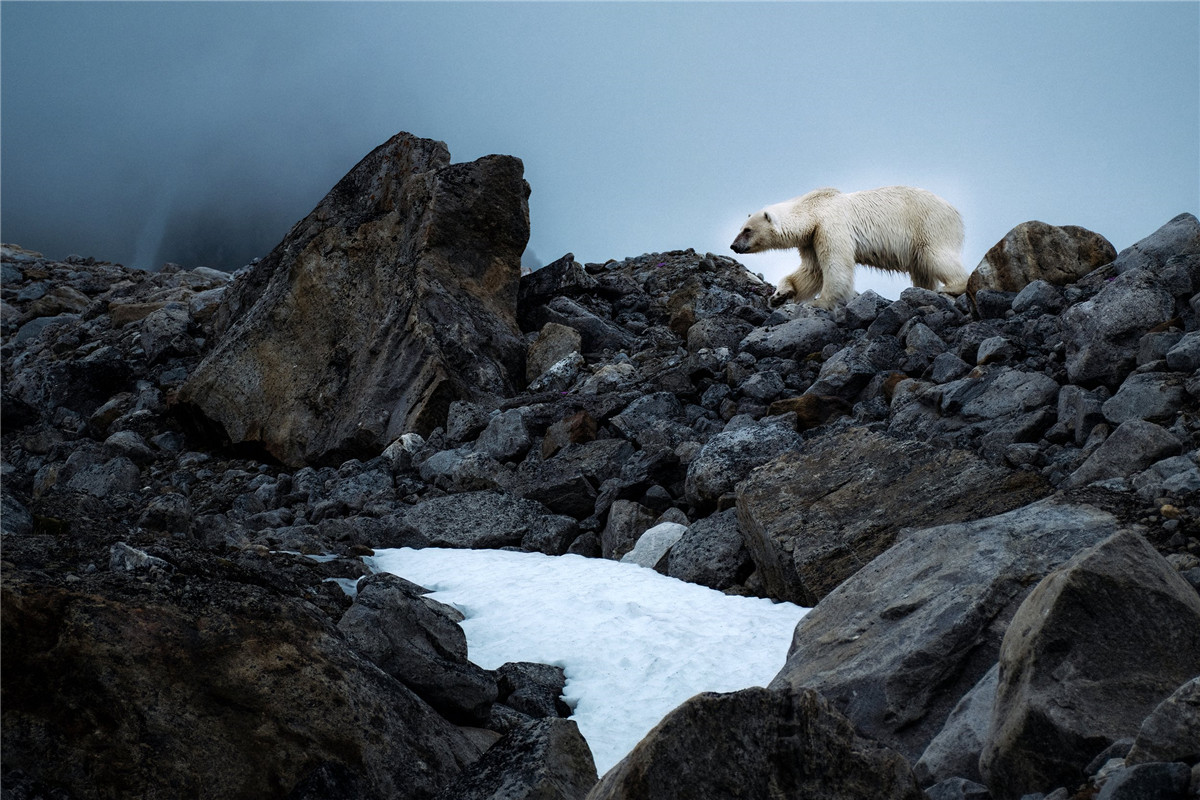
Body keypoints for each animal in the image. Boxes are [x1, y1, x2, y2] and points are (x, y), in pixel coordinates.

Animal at [724, 187, 969, 309]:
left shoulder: (830, 226)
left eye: (747, 230)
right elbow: (811, 271)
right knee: (921, 269)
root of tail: (956, 212)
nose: (734, 245)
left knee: (936, 256)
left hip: (929, 224)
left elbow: (835, 264)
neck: (814, 209)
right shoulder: (811, 239)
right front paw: (780, 295)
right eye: (741, 227)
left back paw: (952, 287)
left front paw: (821, 302)